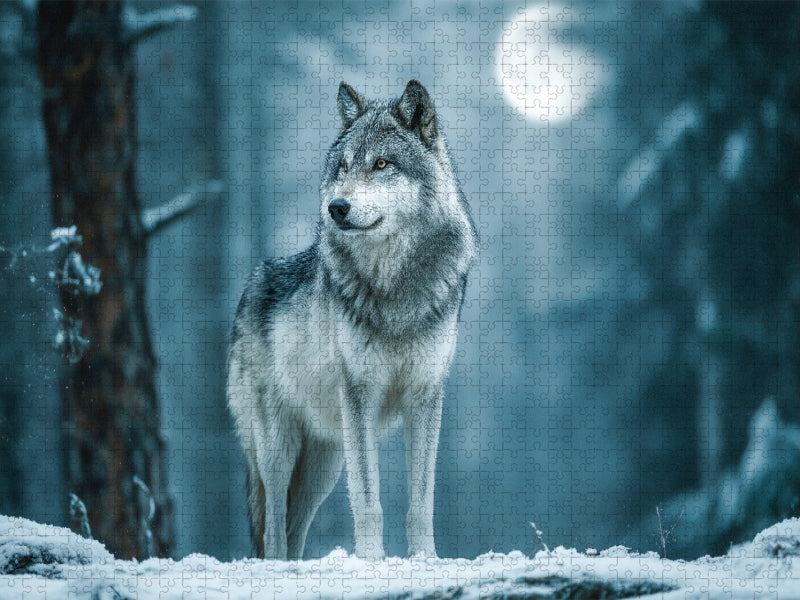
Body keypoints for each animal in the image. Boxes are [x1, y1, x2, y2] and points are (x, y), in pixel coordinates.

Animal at [227, 80, 476, 561]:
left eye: (380, 164)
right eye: (343, 167)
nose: (336, 208)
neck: (396, 288)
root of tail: (250, 283)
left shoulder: (425, 396)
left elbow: (421, 501)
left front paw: (425, 559)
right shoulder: (360, 394)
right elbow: (367, 500)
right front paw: (372, 561)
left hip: (324, 463)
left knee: (294, 526)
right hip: (278, 446)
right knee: (273, 525)